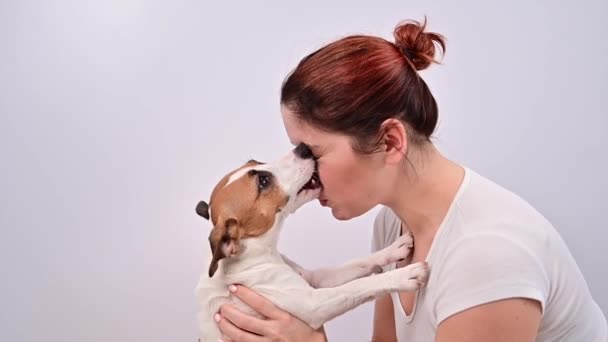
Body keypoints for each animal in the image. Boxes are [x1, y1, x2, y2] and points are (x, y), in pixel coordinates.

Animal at [195, 143, 428, 340]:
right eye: (263, 182)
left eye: (256, 162)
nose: (303, 148)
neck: (258, 250)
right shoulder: (314, 304)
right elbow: (356, 287)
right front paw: (404, 275)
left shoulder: (315, 278)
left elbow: (357, 264)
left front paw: (395, 248)